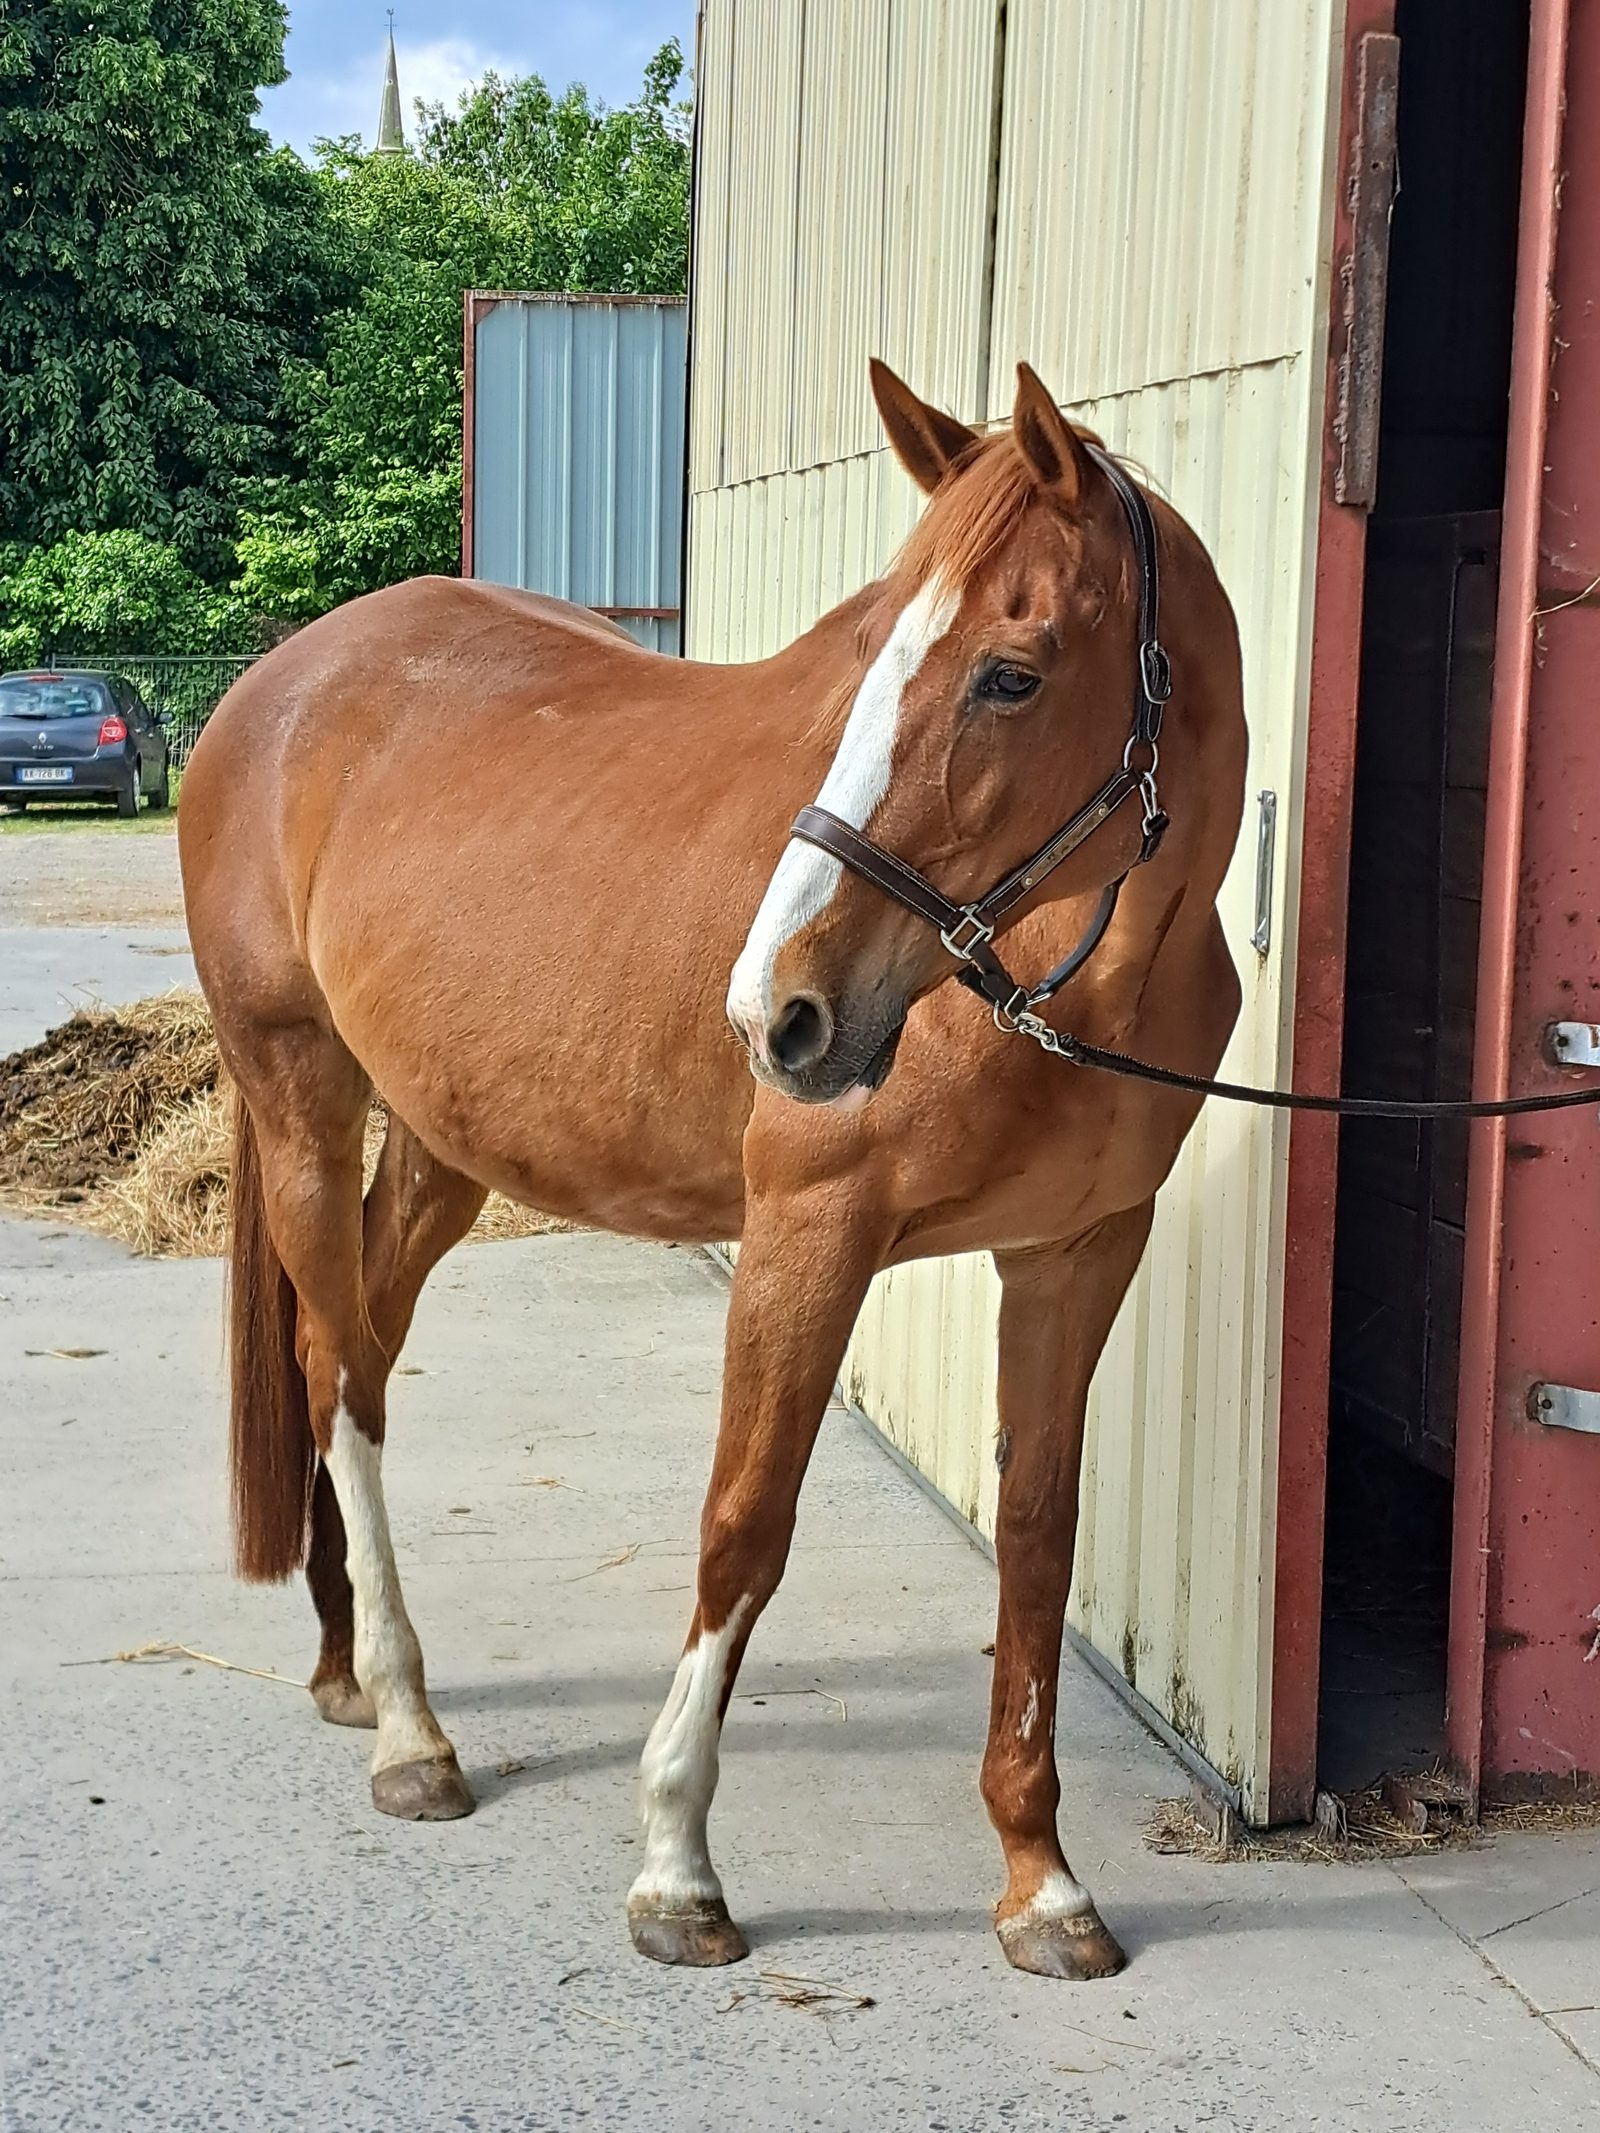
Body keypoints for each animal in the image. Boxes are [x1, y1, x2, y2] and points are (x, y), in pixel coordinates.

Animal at [179, 360, 1246, 1983]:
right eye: (869, 658)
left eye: (1010, 673)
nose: (777, 1013)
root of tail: (274, 687)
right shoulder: (808, 1235)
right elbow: (744, 1527)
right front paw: (676, 1865)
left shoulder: (1075, 1254)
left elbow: (1038, 1543)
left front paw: (1041, 1879)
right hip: (301, 1095)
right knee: (344, 1379)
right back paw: (413, 1730)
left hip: (435, 1149)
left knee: (332, 1356)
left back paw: (347, 1666)